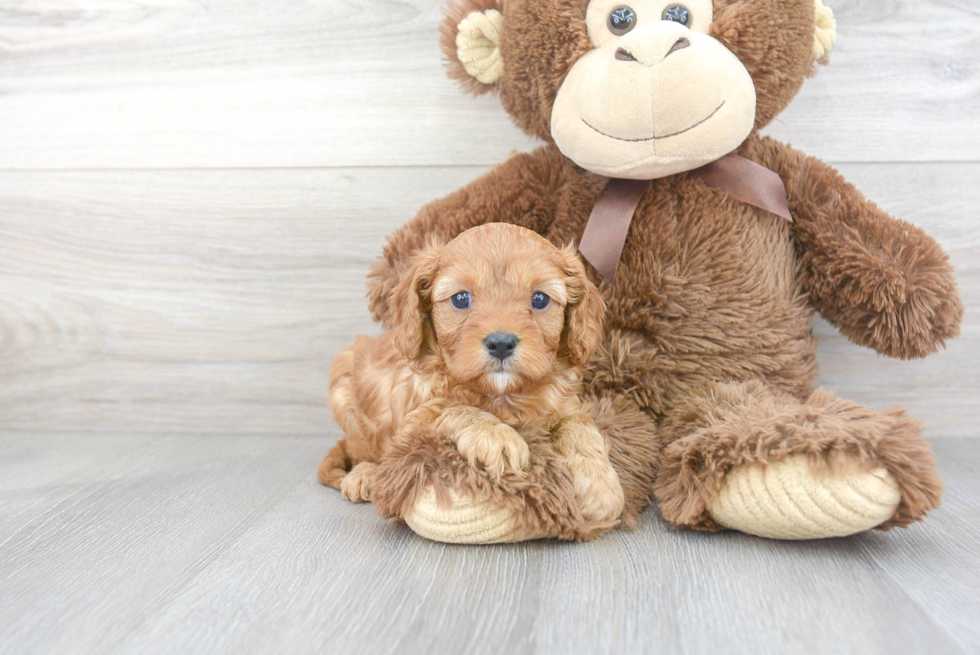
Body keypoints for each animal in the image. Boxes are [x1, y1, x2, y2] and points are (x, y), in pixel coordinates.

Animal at [318, 223, 624, 524]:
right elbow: (453, 408)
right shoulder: (411, 426)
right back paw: (363, 475)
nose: (501, 343)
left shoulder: (565, 405)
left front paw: (601, 486)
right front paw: (497, 436)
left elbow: (580, 427)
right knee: (360, 451)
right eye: (461, 298)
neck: (502, 395)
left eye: (539, 299)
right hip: (343, 381)